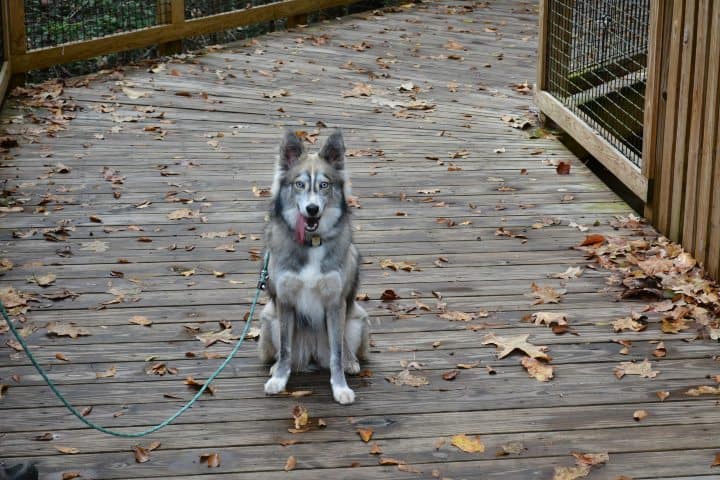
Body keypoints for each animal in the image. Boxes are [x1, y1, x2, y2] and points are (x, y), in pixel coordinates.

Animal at [258, 128, 368, 404]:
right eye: (299, 184)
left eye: (324, 185)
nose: (312, 209)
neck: (311, 242)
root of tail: (312, 353)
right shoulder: (284, 301)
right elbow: (286, 348)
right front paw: (279, 379)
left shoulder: (335, 303)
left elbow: (336, 353)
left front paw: (340, 387)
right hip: (268, 318)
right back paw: (276, 367)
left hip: (358, 319)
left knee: (342, 347)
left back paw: (351, 361)